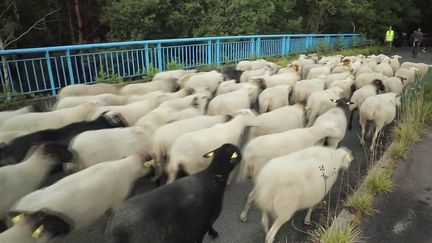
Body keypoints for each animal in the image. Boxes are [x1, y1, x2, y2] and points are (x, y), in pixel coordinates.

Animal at [103, 143, 241, 243]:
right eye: (237, 152)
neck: (212, 176)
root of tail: (112, 228)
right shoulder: (202, 224)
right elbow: (208, 228)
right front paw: (213, 233)